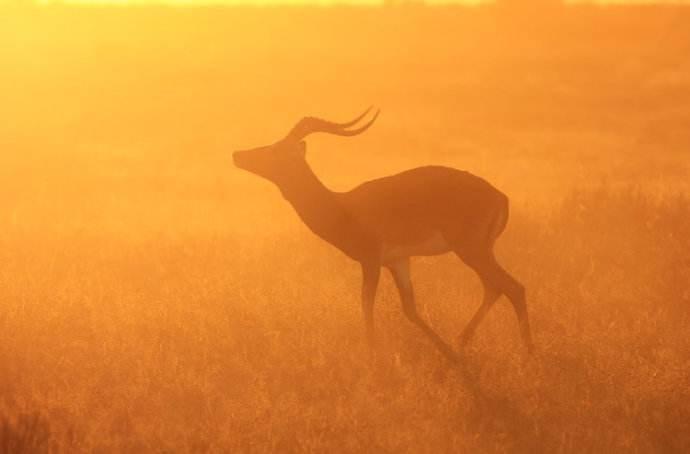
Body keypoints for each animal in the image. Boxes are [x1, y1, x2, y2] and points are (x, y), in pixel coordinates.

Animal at [232, 108, 532, 364]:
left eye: (274, 150)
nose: (237, 154)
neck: (343, 208)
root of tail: (500, 197)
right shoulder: (398, 261)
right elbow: (410, 309)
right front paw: (445, 352)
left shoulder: (371, 260)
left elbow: (366, 305)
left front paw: (372, 356)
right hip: (477, 251)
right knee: (494, 288)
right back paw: (461, 341)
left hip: (471, 249)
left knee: (513, 287)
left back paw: (528, 353)